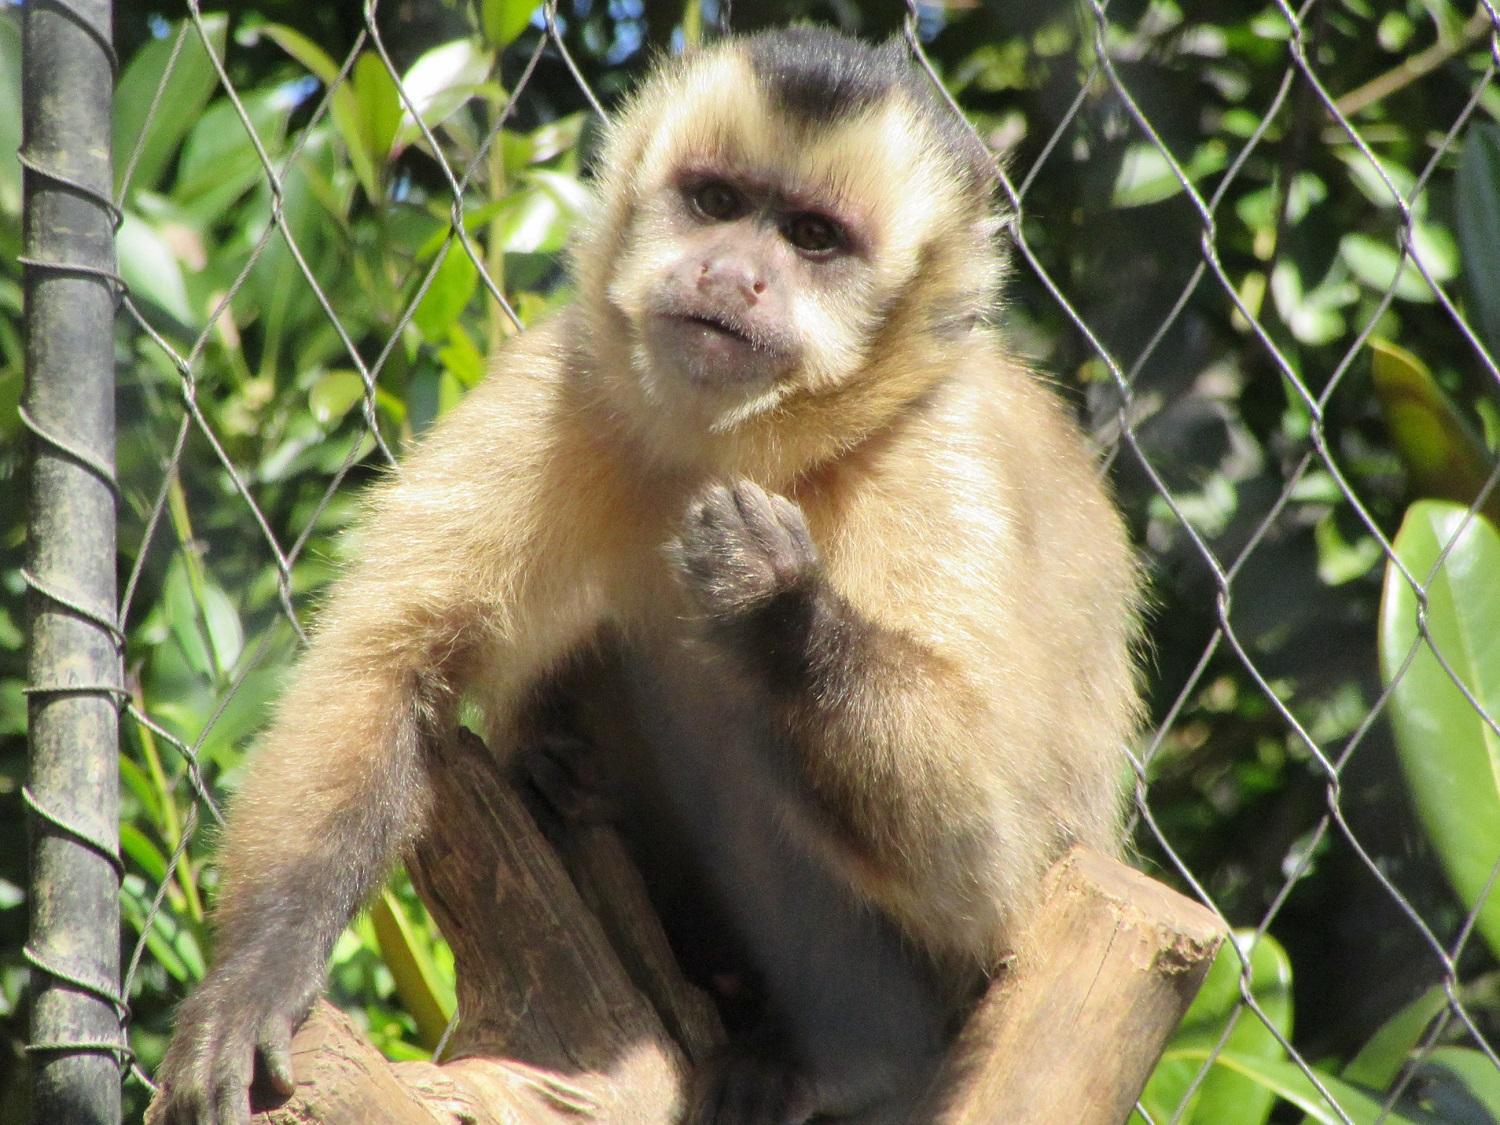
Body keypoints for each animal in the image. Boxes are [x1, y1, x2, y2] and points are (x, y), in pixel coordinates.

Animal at [149, 26, 1134, 1125]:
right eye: (715, 201)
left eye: (813, 238)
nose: (733, 273)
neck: (744, 445)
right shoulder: (565, 380)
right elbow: (388, 665)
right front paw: (257, 976)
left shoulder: (936, 451)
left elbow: (985, 861)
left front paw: (777, 606)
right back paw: (556, 785)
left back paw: (849, 1056)